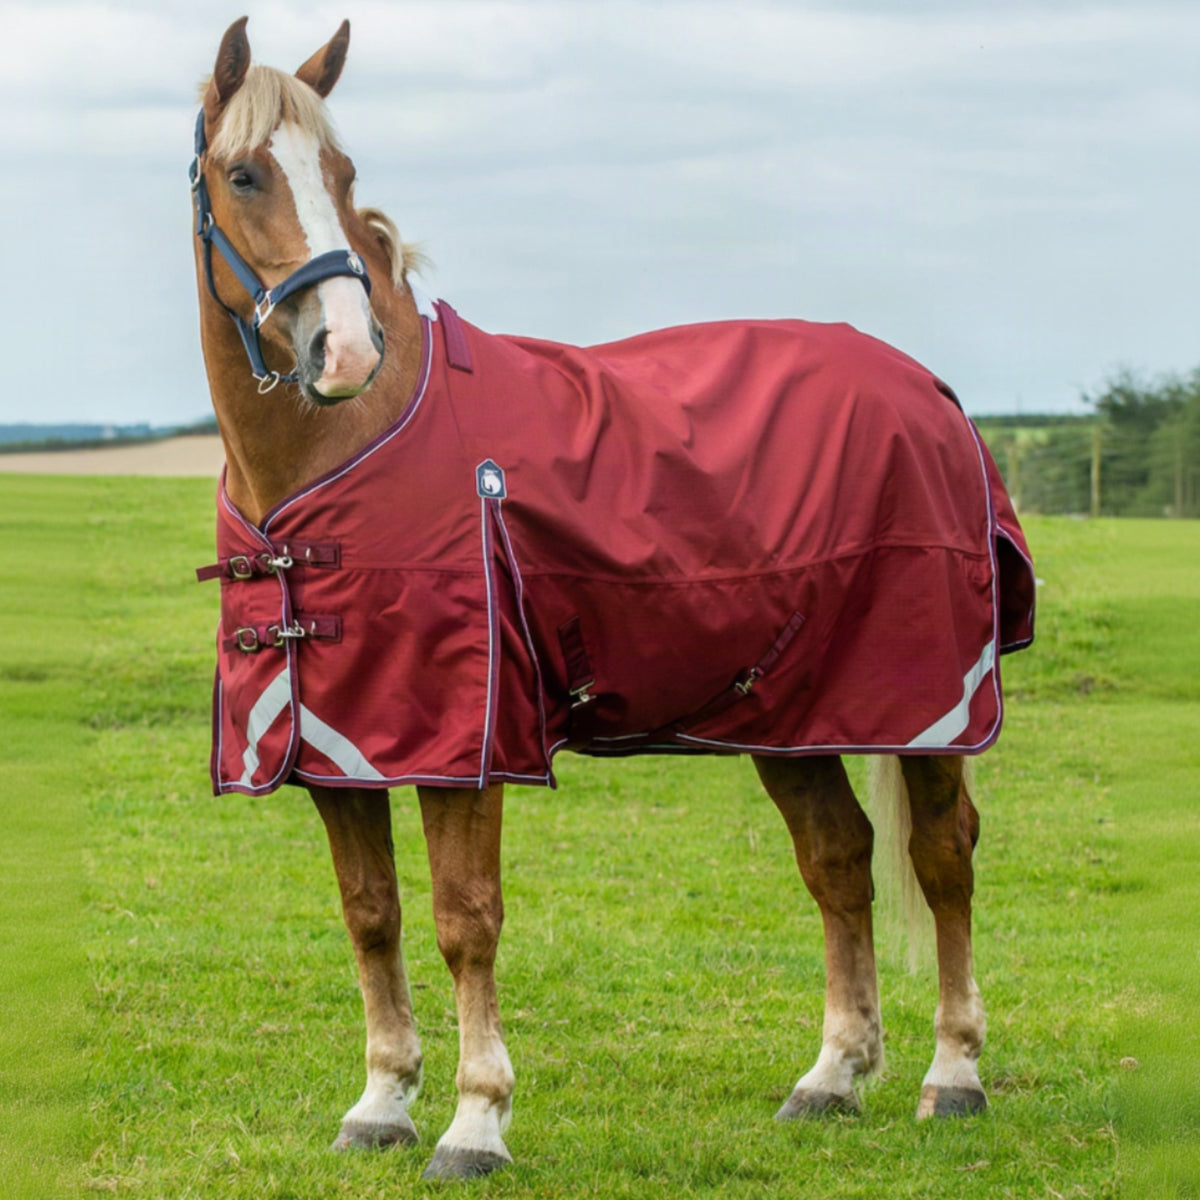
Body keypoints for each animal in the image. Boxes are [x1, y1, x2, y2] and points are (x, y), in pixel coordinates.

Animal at [189, 18, 1035, 1181]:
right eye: (245, 174)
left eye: (345, 175)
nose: (345, 350)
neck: (343, 449)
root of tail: (932, 392)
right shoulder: (334, 747)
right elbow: (371, 916)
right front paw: (382, 1103)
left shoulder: (470, 743)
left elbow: (464, 919)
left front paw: (475, 1121)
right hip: (791, 714)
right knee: (840, 860)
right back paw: (832, 1076)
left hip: (927, 710)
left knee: (940, 857)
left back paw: (952, 1074)